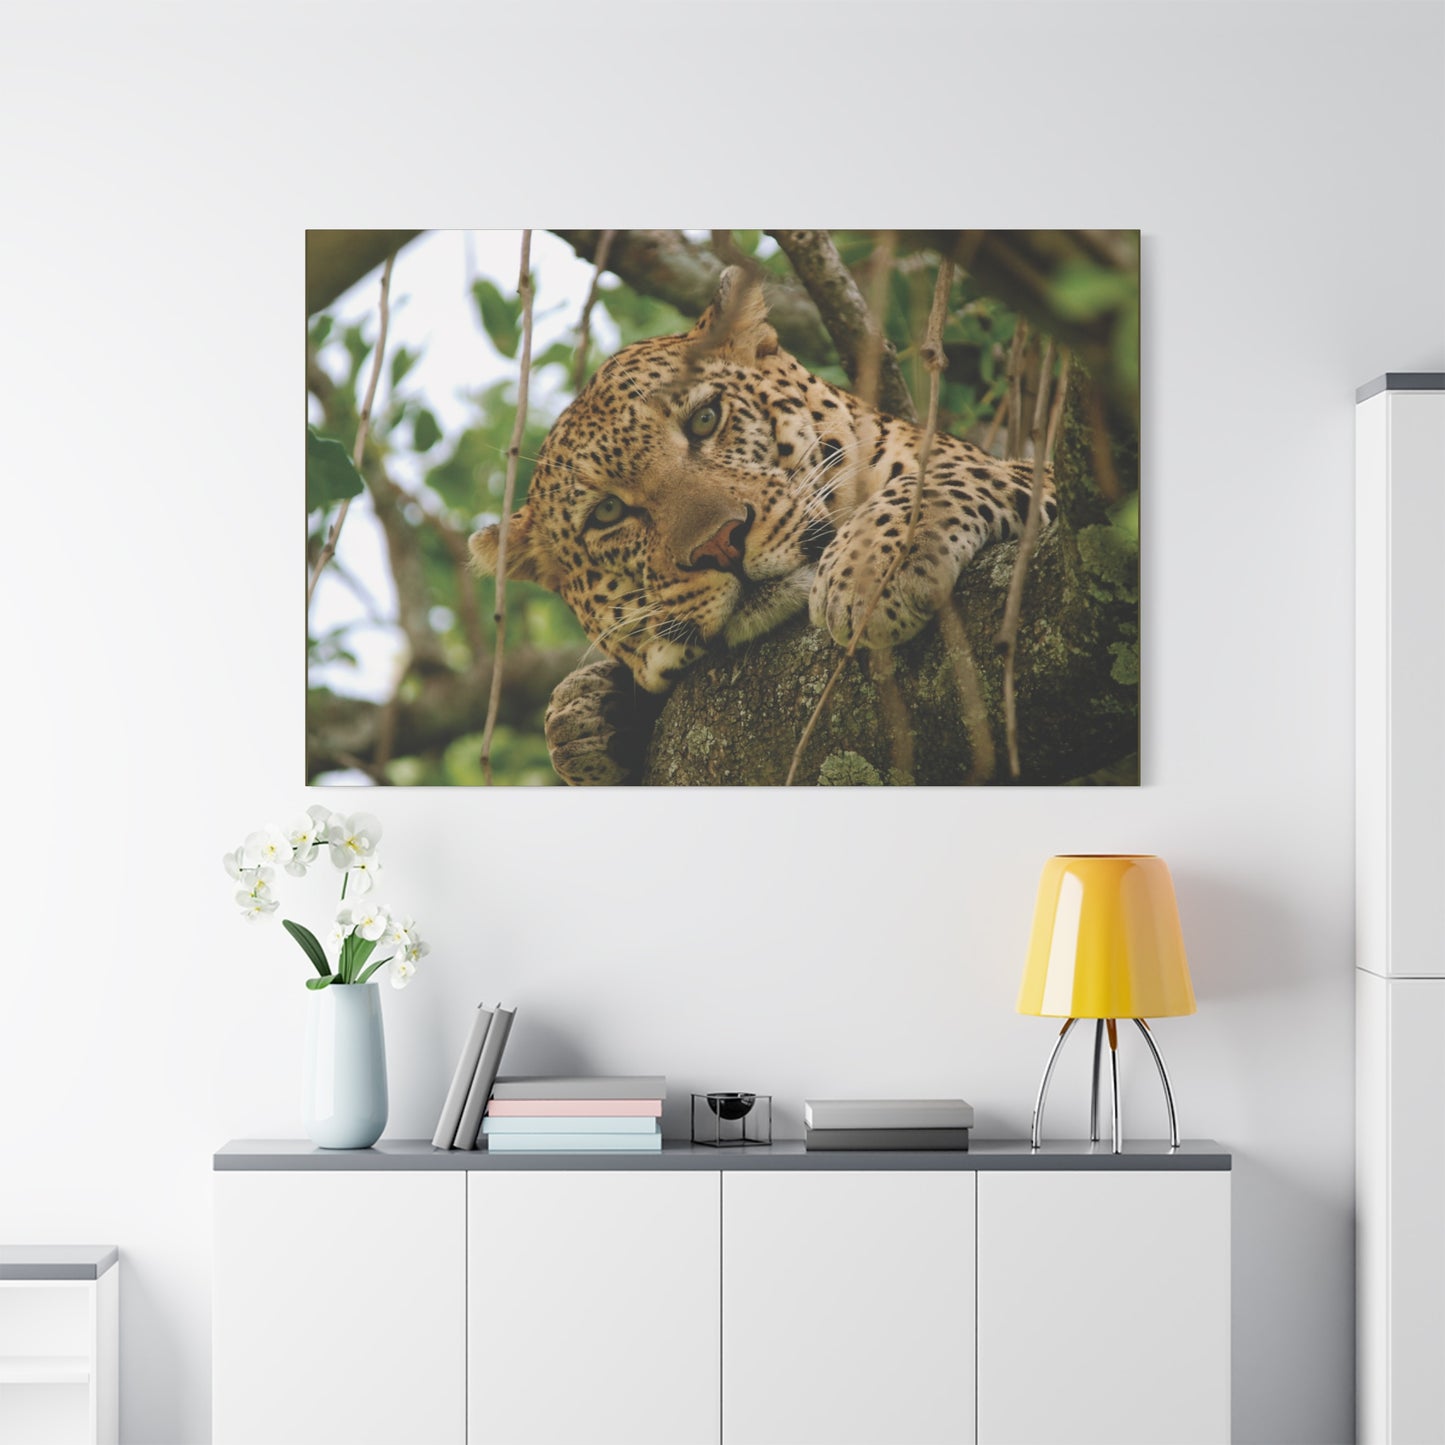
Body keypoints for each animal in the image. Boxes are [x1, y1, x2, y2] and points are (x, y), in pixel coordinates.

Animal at [469, 266, 1057, 784]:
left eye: (705, 420)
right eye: (607, 513)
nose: (720, 545)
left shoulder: (1044, 476)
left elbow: (948, 474)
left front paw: (869, 570)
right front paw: (587, 718)